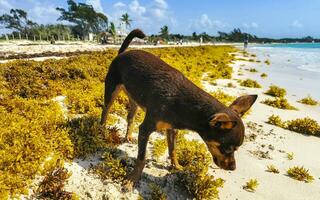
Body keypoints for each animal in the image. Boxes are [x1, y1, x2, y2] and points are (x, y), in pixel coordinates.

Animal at [100, 28, 258, 190]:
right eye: (227, 149)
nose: (233, 168)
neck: (184, 103)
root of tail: (122, 53)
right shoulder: (145, 129)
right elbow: (142, 158)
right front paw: (132, 179)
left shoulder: (172, 129)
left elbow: (173, 149)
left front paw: (176, 166)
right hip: (111, 91)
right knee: (105, 111)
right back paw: (102, 131)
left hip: (135, 98)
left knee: (130, 117)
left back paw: (127, 137)